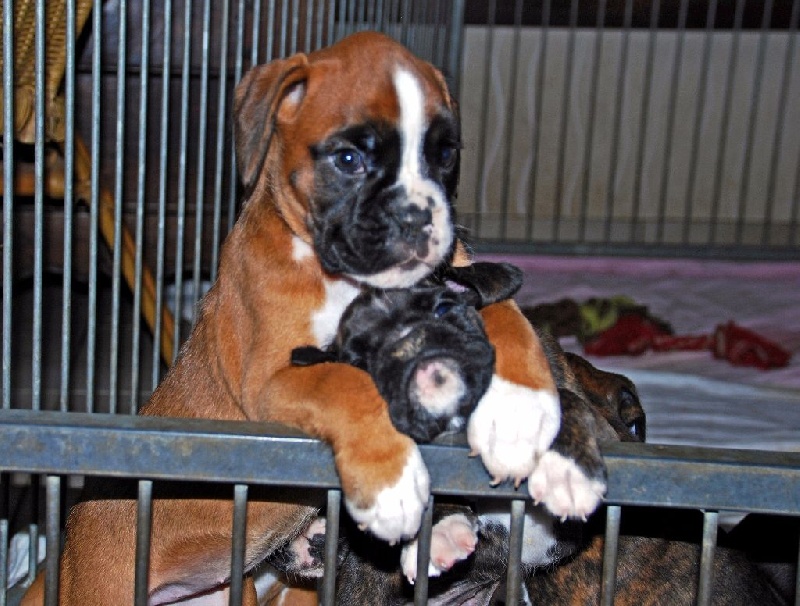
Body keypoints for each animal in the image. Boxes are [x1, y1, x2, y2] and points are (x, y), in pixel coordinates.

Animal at [21, 32, 603, 605]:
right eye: (347, 159)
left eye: (443, 155)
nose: (418, 217)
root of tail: (58, 563)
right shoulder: (275, 380)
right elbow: (345, 385)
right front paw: (392, 486)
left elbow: (509, 321)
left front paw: (523, 415)